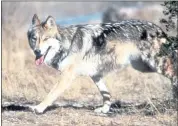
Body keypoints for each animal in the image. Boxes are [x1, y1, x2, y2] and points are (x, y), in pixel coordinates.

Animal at [26, 13, 177, 114]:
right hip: (143, 67)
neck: (66, 44)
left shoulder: (67, 76)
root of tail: (158, 28)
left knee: (174, 74)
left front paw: (39, 108)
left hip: (156, 64)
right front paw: (105, 109)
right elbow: (106, 94)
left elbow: (51, 93)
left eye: (45, 39)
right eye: (34, 38)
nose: (37, 51)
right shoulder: (96, 74)